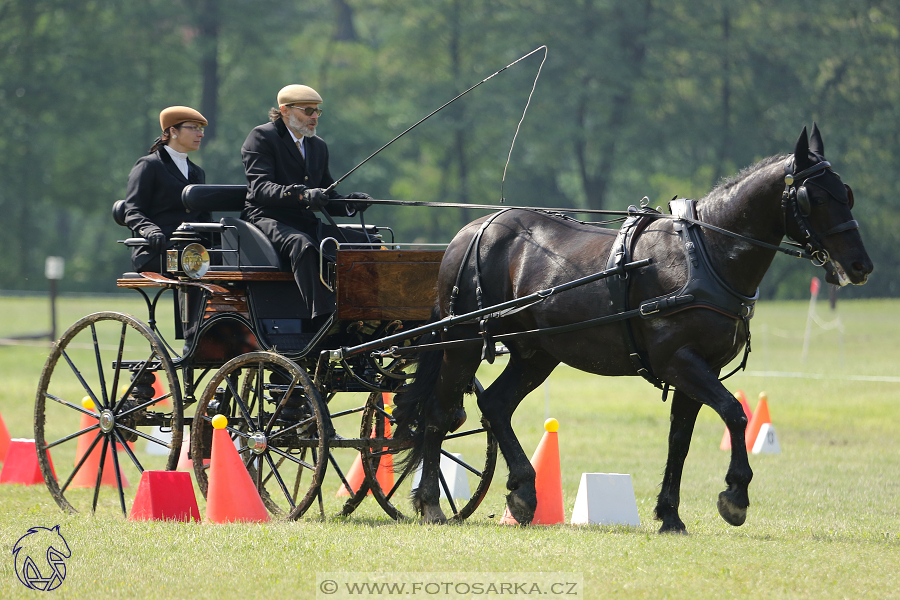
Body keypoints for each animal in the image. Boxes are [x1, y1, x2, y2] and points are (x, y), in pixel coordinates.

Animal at [394, 124, 872, 532]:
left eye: (846, 194)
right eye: (814, 198)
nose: (860, 265)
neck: (705, 254)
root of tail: (473, 229)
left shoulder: (701, 369)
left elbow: (680, 438)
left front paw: (670, 515)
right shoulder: (682, 362)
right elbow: (735, 412)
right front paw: (735, 495)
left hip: (537, 352)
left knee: (494, 404)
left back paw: (524, 494)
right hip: (462, 342)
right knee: (438, 413)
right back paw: (432, 503)